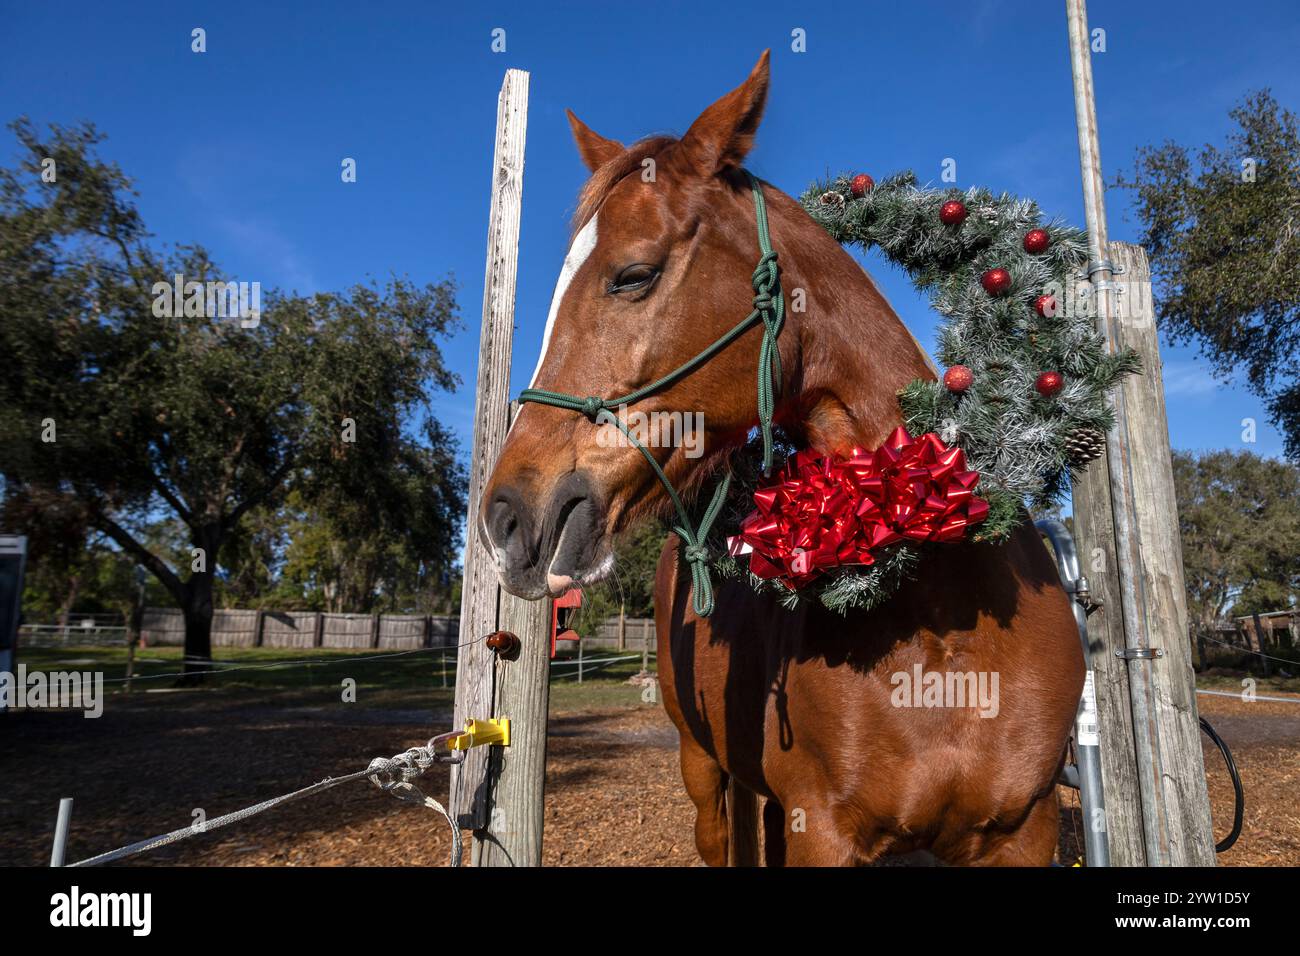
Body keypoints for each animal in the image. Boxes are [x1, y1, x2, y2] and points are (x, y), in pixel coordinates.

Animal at [483, 52, 1081, 868]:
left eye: (633, 275)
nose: (506, 516)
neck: (944, 624)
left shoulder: (1025, 831)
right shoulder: (822, 831)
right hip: (702, 771)